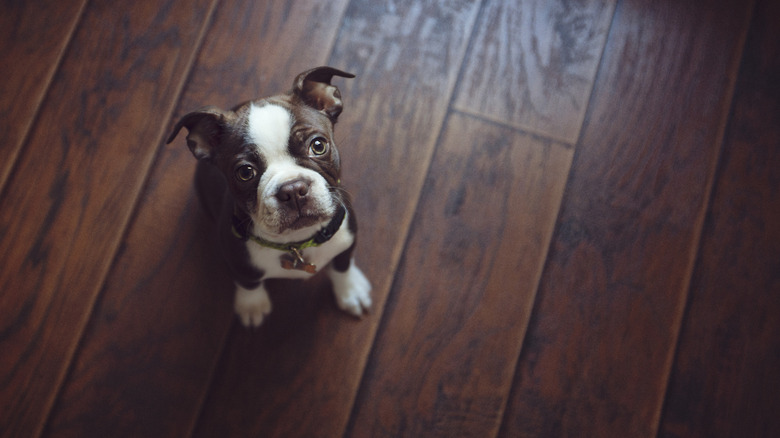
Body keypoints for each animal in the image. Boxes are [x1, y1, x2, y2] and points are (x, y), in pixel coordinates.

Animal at [165, 66, 372, 326]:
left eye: (318, 146)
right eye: (245, 172)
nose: (292, 189)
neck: (297, 243)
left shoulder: (347, 236)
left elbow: (342, 265)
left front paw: (350, 290)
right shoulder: (237, 261)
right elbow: (248, 283)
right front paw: (252, 305)